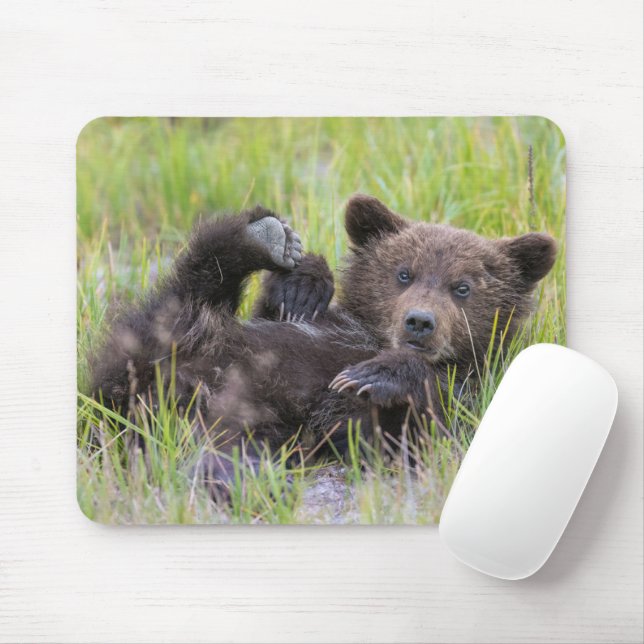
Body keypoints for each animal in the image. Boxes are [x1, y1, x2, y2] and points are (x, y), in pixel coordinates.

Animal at [89, 194, 557, 496]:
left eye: (463, 287)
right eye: (403, 273)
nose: (419, 322)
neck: (371, 335)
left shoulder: (472, 388)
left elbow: (428, 428)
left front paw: (375, 374)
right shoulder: (311, 325)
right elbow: (281, 311)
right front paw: (303, 284)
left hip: (249, 419)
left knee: (217, 444)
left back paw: (242, 476)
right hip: (164, 345)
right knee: (184, 294)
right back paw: (261, 236)